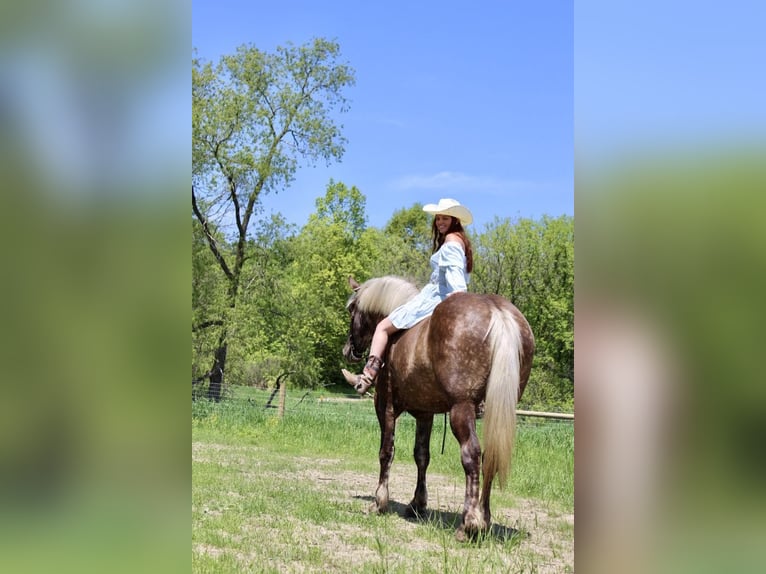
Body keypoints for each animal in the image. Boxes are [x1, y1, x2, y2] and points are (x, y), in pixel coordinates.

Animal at [342, 276, 536, 544]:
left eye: (352, 309)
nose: (348, 349)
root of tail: (497, 310)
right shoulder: (425, 414)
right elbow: (422, 455)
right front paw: (417, 504)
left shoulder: (386, 407)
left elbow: (386, 452)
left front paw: (379, 502)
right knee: (489, 457)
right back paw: (484, 519)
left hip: (461, 409)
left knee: (471, 455)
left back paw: (469, 524)